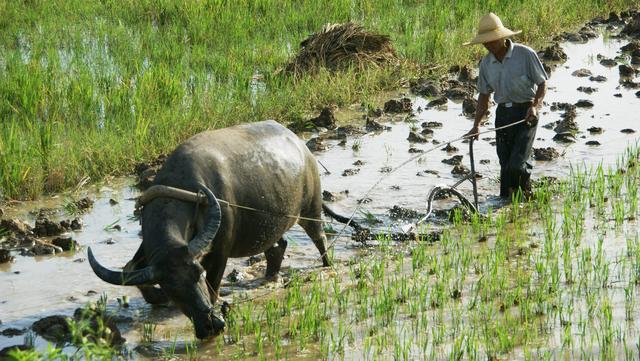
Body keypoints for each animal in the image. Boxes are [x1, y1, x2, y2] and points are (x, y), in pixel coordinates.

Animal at [87, 120, 358, 338]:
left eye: (198, 273)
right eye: (170, 288)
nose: (210, 326)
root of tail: (301, 146)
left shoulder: (219, 254)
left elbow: (213, 287)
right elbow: (128, 269)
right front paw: (158, 299)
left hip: (310, 209)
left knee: (320, 239)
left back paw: (327, 265)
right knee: (278, 246)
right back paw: (271, 275)